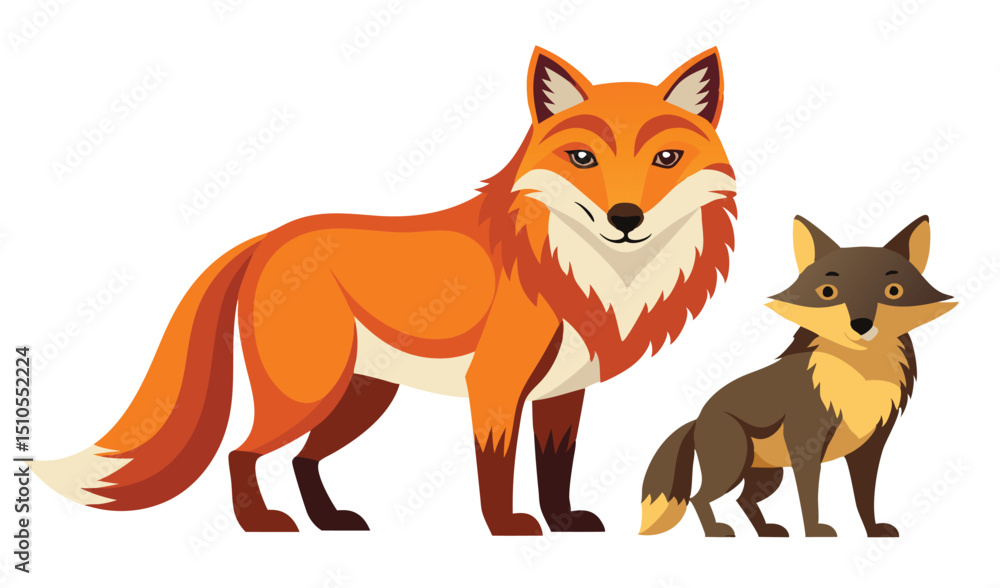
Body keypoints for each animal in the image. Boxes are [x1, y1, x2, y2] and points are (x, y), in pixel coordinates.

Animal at [32, 47, 737, 536]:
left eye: (667, 160)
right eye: (583, 159)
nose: (626, 217)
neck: (583, 272)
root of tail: (267, 238)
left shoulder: (563, 394)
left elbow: (555, 473)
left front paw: (562, 525)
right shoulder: (495, 386)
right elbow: (498, 472)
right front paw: (506, 529)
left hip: (360, 399)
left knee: (302, 460)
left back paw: (329, 521)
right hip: (307, 393)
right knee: (241, 452)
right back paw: (261, 525)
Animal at [638, 215, 956, 537]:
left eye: (894, 291)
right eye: (827, 292)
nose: (861, 325)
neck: (859, 378)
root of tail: (697, 418)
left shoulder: (869, 450)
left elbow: (864, 500)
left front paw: (873, 531)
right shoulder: (805, 446)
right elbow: (809, 499)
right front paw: (815, 533)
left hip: (769, 475)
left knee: (743, 499)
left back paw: (767, 532)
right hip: (733, 467)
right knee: (698, 496)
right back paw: (717, 531)